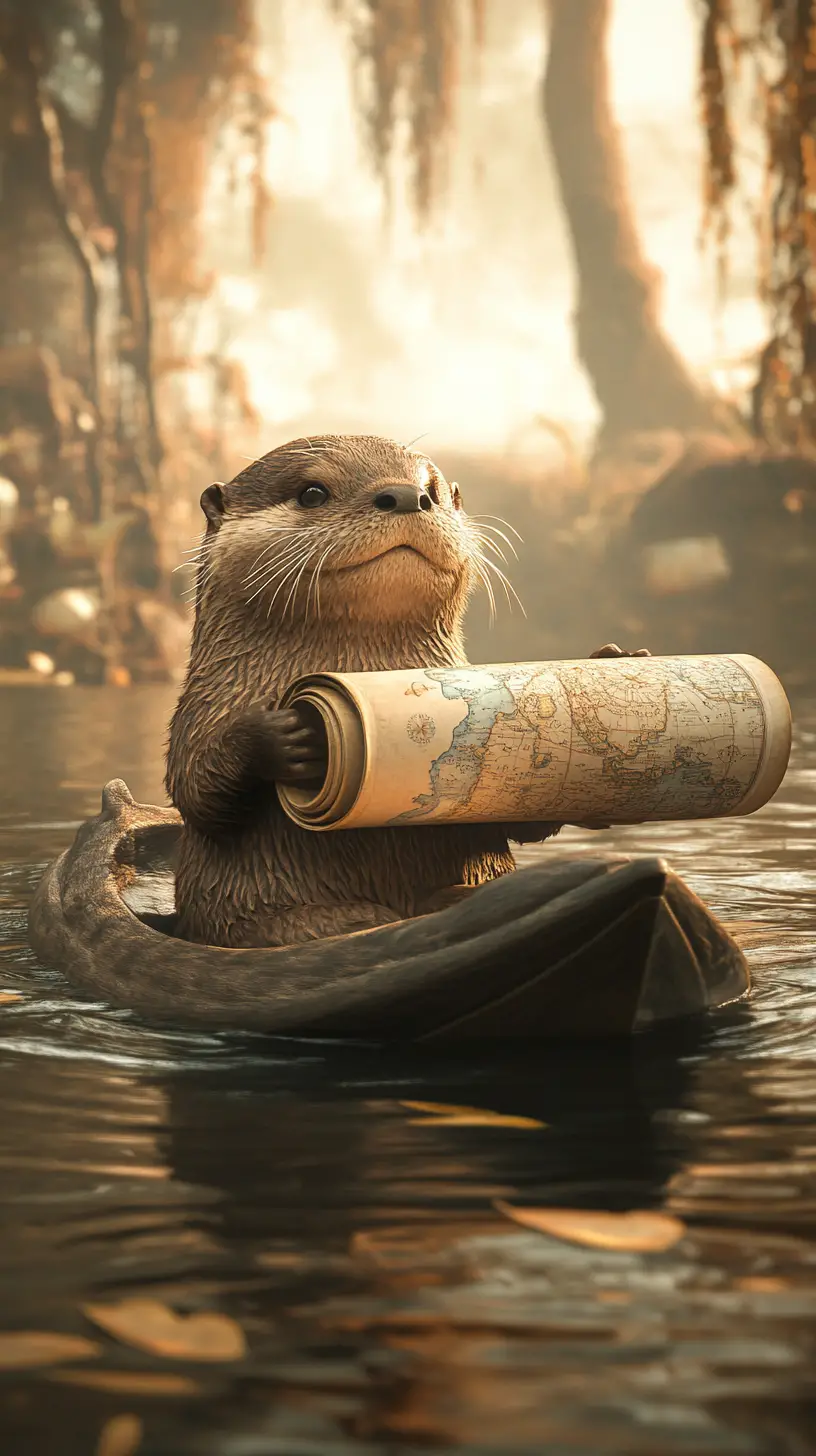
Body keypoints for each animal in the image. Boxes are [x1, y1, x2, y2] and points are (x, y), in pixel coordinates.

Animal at [166, 435, 646, 948]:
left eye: (432, 489)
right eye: (312, 492)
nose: (405, 494)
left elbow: (519, 818)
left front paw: (612, 661)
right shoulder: (204, 706)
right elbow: (196, 788)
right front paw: (284, 736)